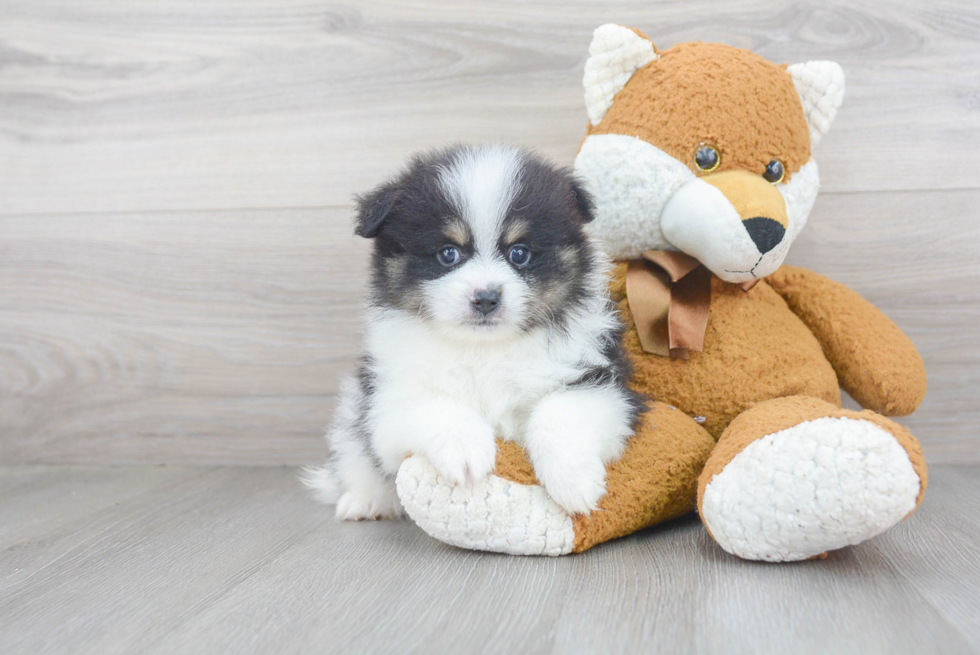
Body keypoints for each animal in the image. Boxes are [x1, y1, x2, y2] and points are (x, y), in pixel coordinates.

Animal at [306, 145, 644, 524]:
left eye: (519, 253)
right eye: (448, 253)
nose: (485, 297)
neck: (484, 348)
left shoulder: (601, 382)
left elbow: (559, 411)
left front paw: (574, 481)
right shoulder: (390, 399)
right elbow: (437, 407)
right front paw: (465, 452)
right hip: (353, 409)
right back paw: (364, 502)